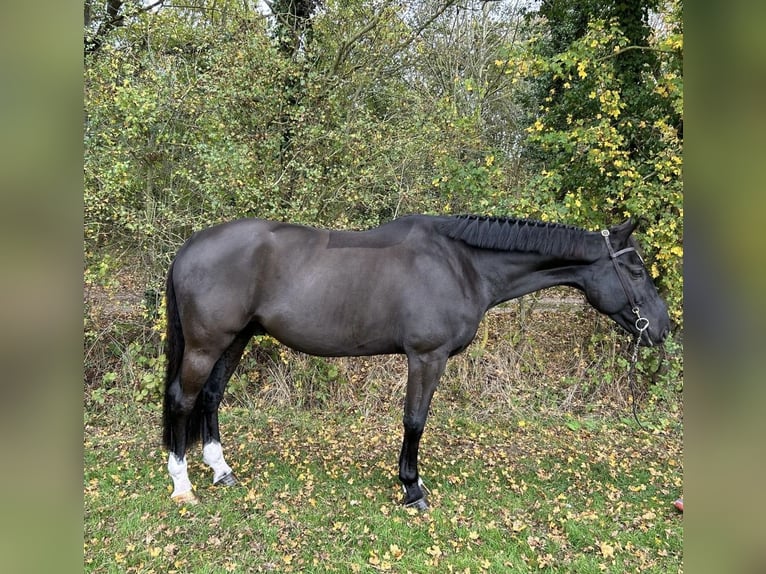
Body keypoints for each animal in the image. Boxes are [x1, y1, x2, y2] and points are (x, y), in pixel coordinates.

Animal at [164, 215, 672, 508]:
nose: (663, 326)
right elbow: (415, 420)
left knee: (211, 397)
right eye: (635, 268)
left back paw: (221, 471)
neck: (461, 265)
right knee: (182, 400)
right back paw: (183, 484)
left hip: (237, 339)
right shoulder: (427, 357)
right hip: (208, 344)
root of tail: (190, 247)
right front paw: (412, 488)